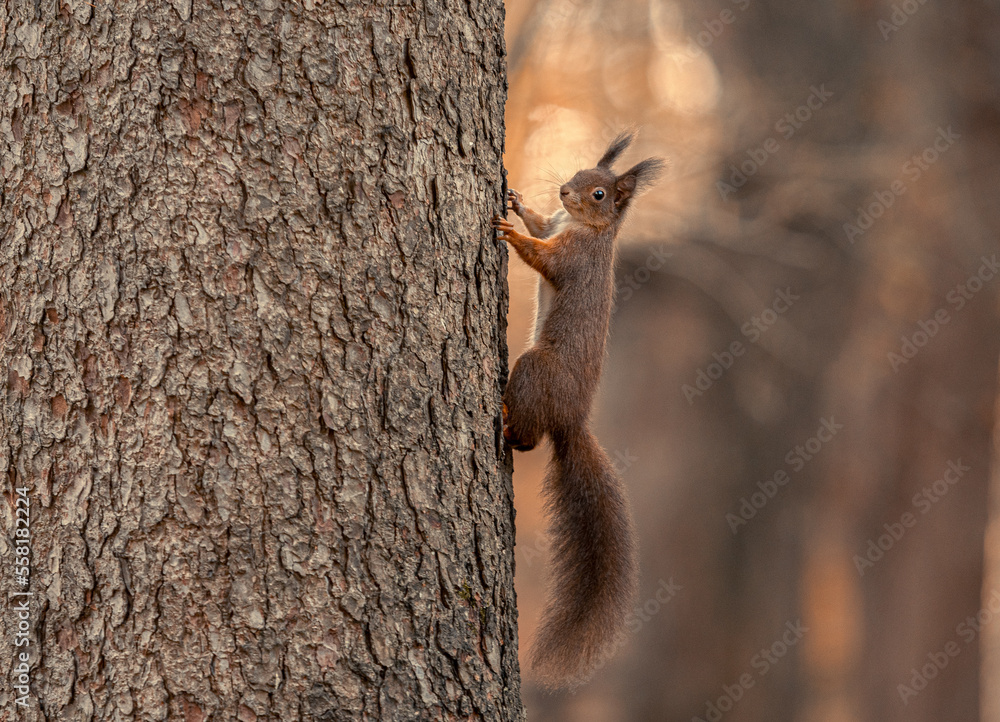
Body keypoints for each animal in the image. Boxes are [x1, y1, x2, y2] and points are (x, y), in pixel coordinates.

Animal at [492, 131, 664, 688]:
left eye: (601, 195)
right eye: (578, 173)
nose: (565, 191)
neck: (583, 229)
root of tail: (571, 420)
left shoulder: (573, 257)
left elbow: (543, 258)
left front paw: (508, 231)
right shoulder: (556, 225)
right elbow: (540, 225)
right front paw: (517, 203)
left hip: (534, 369)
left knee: (529, 437)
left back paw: (507, 425)